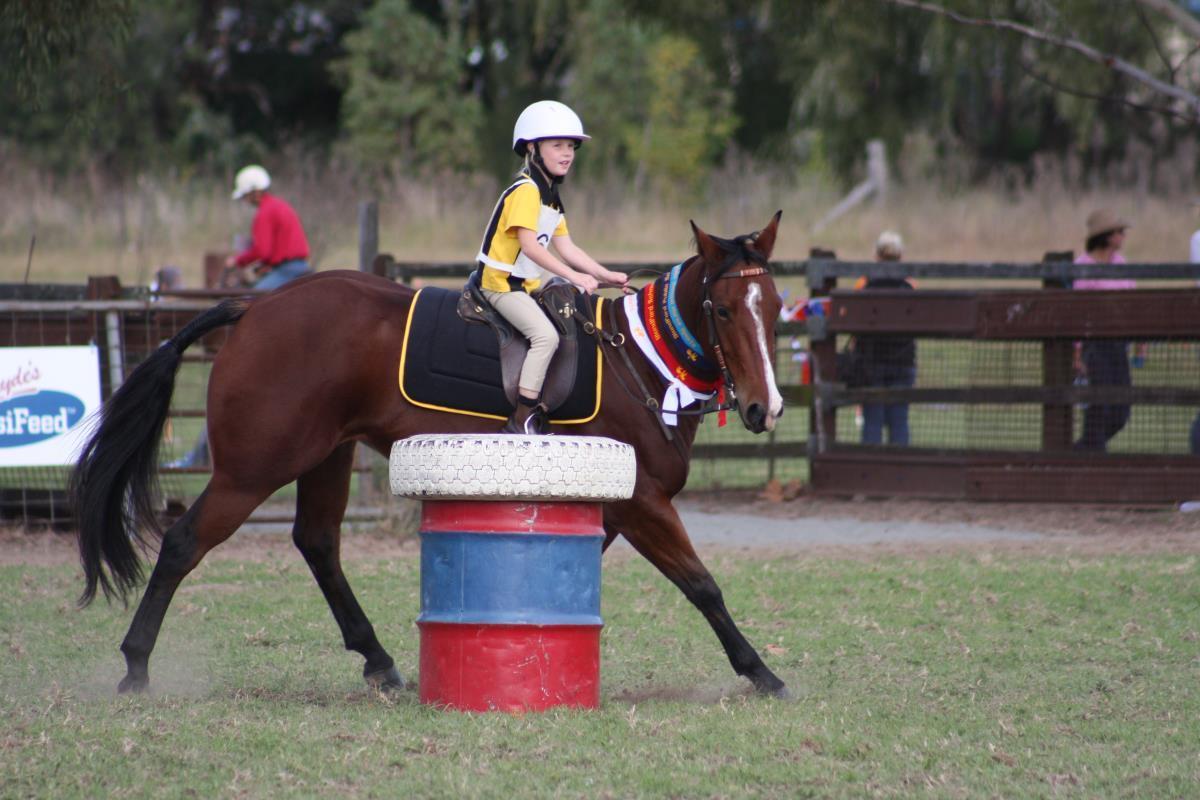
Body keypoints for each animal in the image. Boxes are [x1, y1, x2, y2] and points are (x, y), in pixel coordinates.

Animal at [71, 212, 790, 699]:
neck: (640, 360)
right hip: (254, 470)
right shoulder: (642, 504)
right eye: (725, 309)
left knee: (317, 543)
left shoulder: (607, 510)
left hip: (325, 456)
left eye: (777, 306)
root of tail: (254, 308)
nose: (766, 408)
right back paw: (135, 664)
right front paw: (760, 670)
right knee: (183, 542)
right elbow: (701, 584)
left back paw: (378, 660)